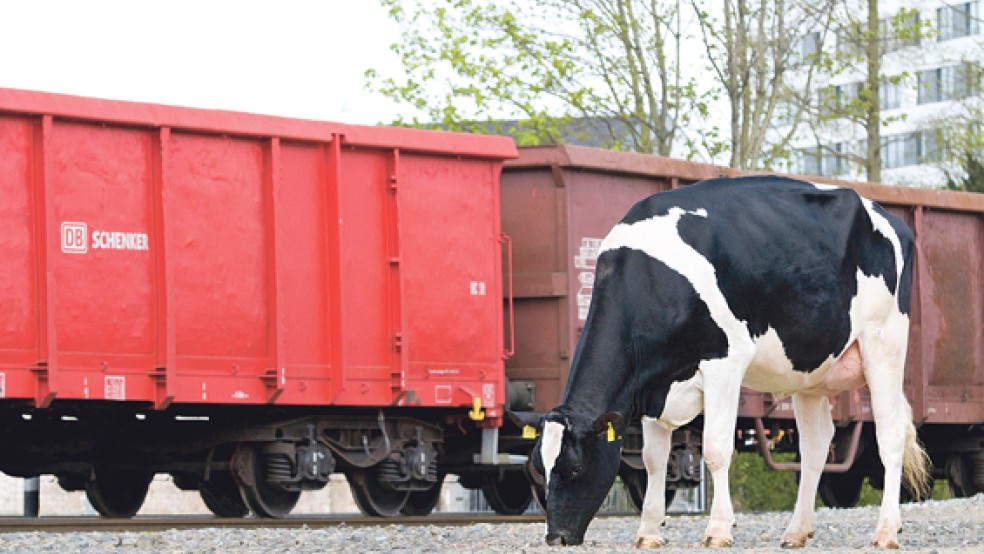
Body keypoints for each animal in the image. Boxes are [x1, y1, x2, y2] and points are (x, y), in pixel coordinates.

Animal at [532, 175, 932, 544]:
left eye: (575, 469)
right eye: (538, 469)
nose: (556, 538)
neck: (650, 279)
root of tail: (885, 214)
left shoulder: (724, 361)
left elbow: (715, 448)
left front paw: (718, 529)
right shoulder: (651, 384)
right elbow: (654, 459)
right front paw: (648, 532)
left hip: (884, 345)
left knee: (890, 435)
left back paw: (885, 531)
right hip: (812, 371)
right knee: (816, 447)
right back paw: (797, 531)